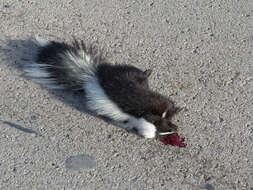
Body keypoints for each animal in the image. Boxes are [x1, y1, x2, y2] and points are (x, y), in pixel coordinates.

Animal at [22, 37, 182, 138]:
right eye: (164, 131)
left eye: (169, 126)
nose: (175, 131)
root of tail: (93, 75)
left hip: (126, 72)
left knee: (138, 73)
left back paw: (148, 72)